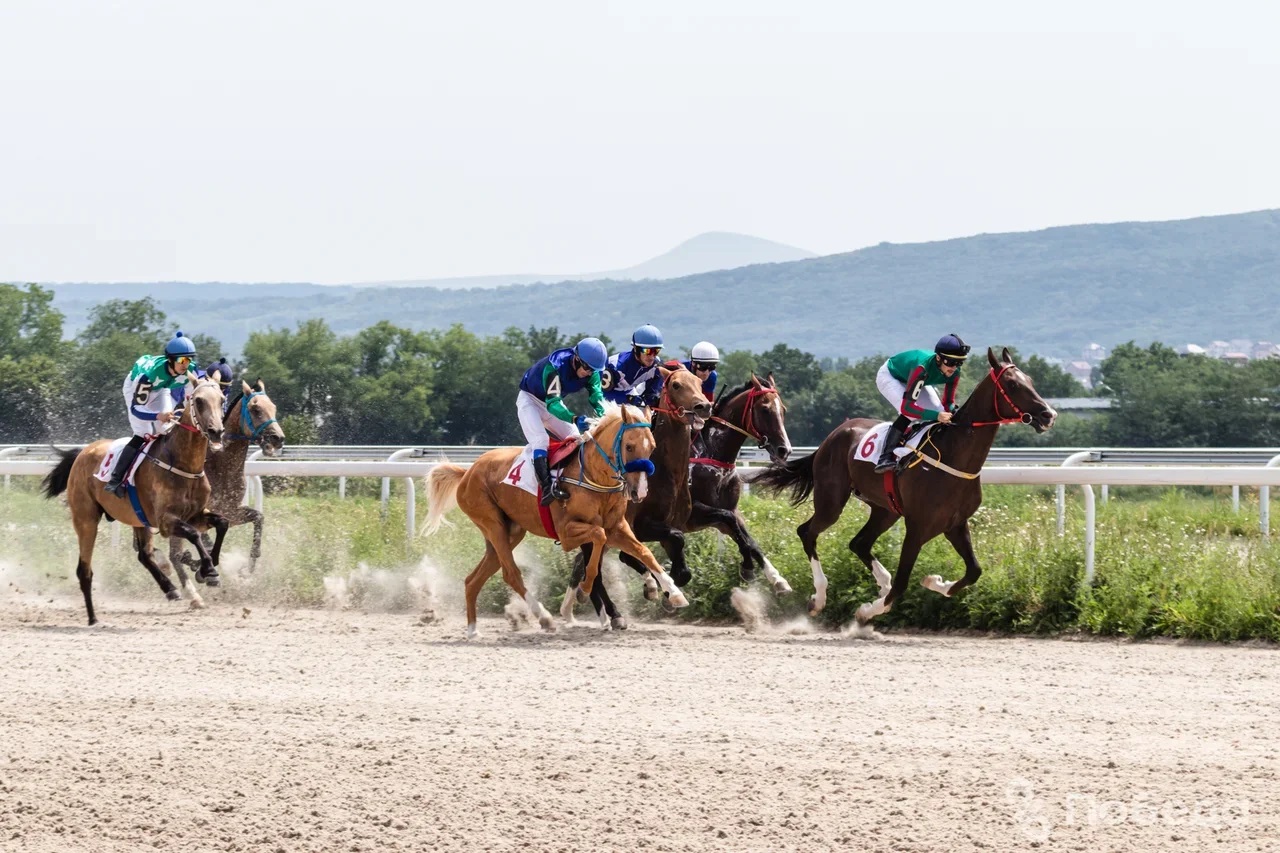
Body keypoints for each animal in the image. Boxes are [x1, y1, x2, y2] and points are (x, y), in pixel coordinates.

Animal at [41, 379, 232, 625]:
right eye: (198, 401)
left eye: (221, 399)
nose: (216, 431)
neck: (182, 464)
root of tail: (83, 452)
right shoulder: (166, 521)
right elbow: (193, 534)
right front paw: (207, 568)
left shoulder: (195, 514)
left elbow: (222, 523)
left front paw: (207, 569)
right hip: (86, 519)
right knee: (84, 570)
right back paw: (93, 618)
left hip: (138, 518)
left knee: (143, 554)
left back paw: (170, 589)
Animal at [167, 379, 285, 596]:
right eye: (256, 409)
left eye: (273, 407)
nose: (278, 438)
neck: (221, 465)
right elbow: (203, 540)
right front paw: (204, 570)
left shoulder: (230, 510)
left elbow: (258, 518)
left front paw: (248, 568)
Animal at [422, 402, 691, 635]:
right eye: (629, 447)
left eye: (652, 447)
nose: (640, 491)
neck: (593, 475)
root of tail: (467, 472)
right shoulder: (567, 531)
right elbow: (598, 538)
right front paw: (584, 590)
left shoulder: (618, 527)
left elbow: (642, 552)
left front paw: (673, 592)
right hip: (492, 524)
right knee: (511, 573)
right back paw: (544, 617)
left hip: (510, 532)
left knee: (473, 579)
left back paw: (472, 630)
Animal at [563, 366, 716, 625]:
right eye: (676, 385)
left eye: (698, 381)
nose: (703, 406)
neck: (667, 473)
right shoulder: (638, 526)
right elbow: (662, 544)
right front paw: (661, 588)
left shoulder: (670, 524)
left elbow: (674, 548)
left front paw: (669, 587)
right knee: (592, 567)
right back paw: (607, 613)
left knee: (585, 564)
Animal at [752, 348, 1054, 625]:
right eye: (1013, 385)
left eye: (1030, 380)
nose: (1048, 414)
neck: (953, 455)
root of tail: (833, 435)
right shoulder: (917, 526)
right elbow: (901, 584)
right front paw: (867, 610)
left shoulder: (955, 524)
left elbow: (974, 571)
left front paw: (933, 582)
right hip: (831, 501)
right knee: (807, 532)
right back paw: (820, 597)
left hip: (886, 509)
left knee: (859, 543)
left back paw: (880, 581)